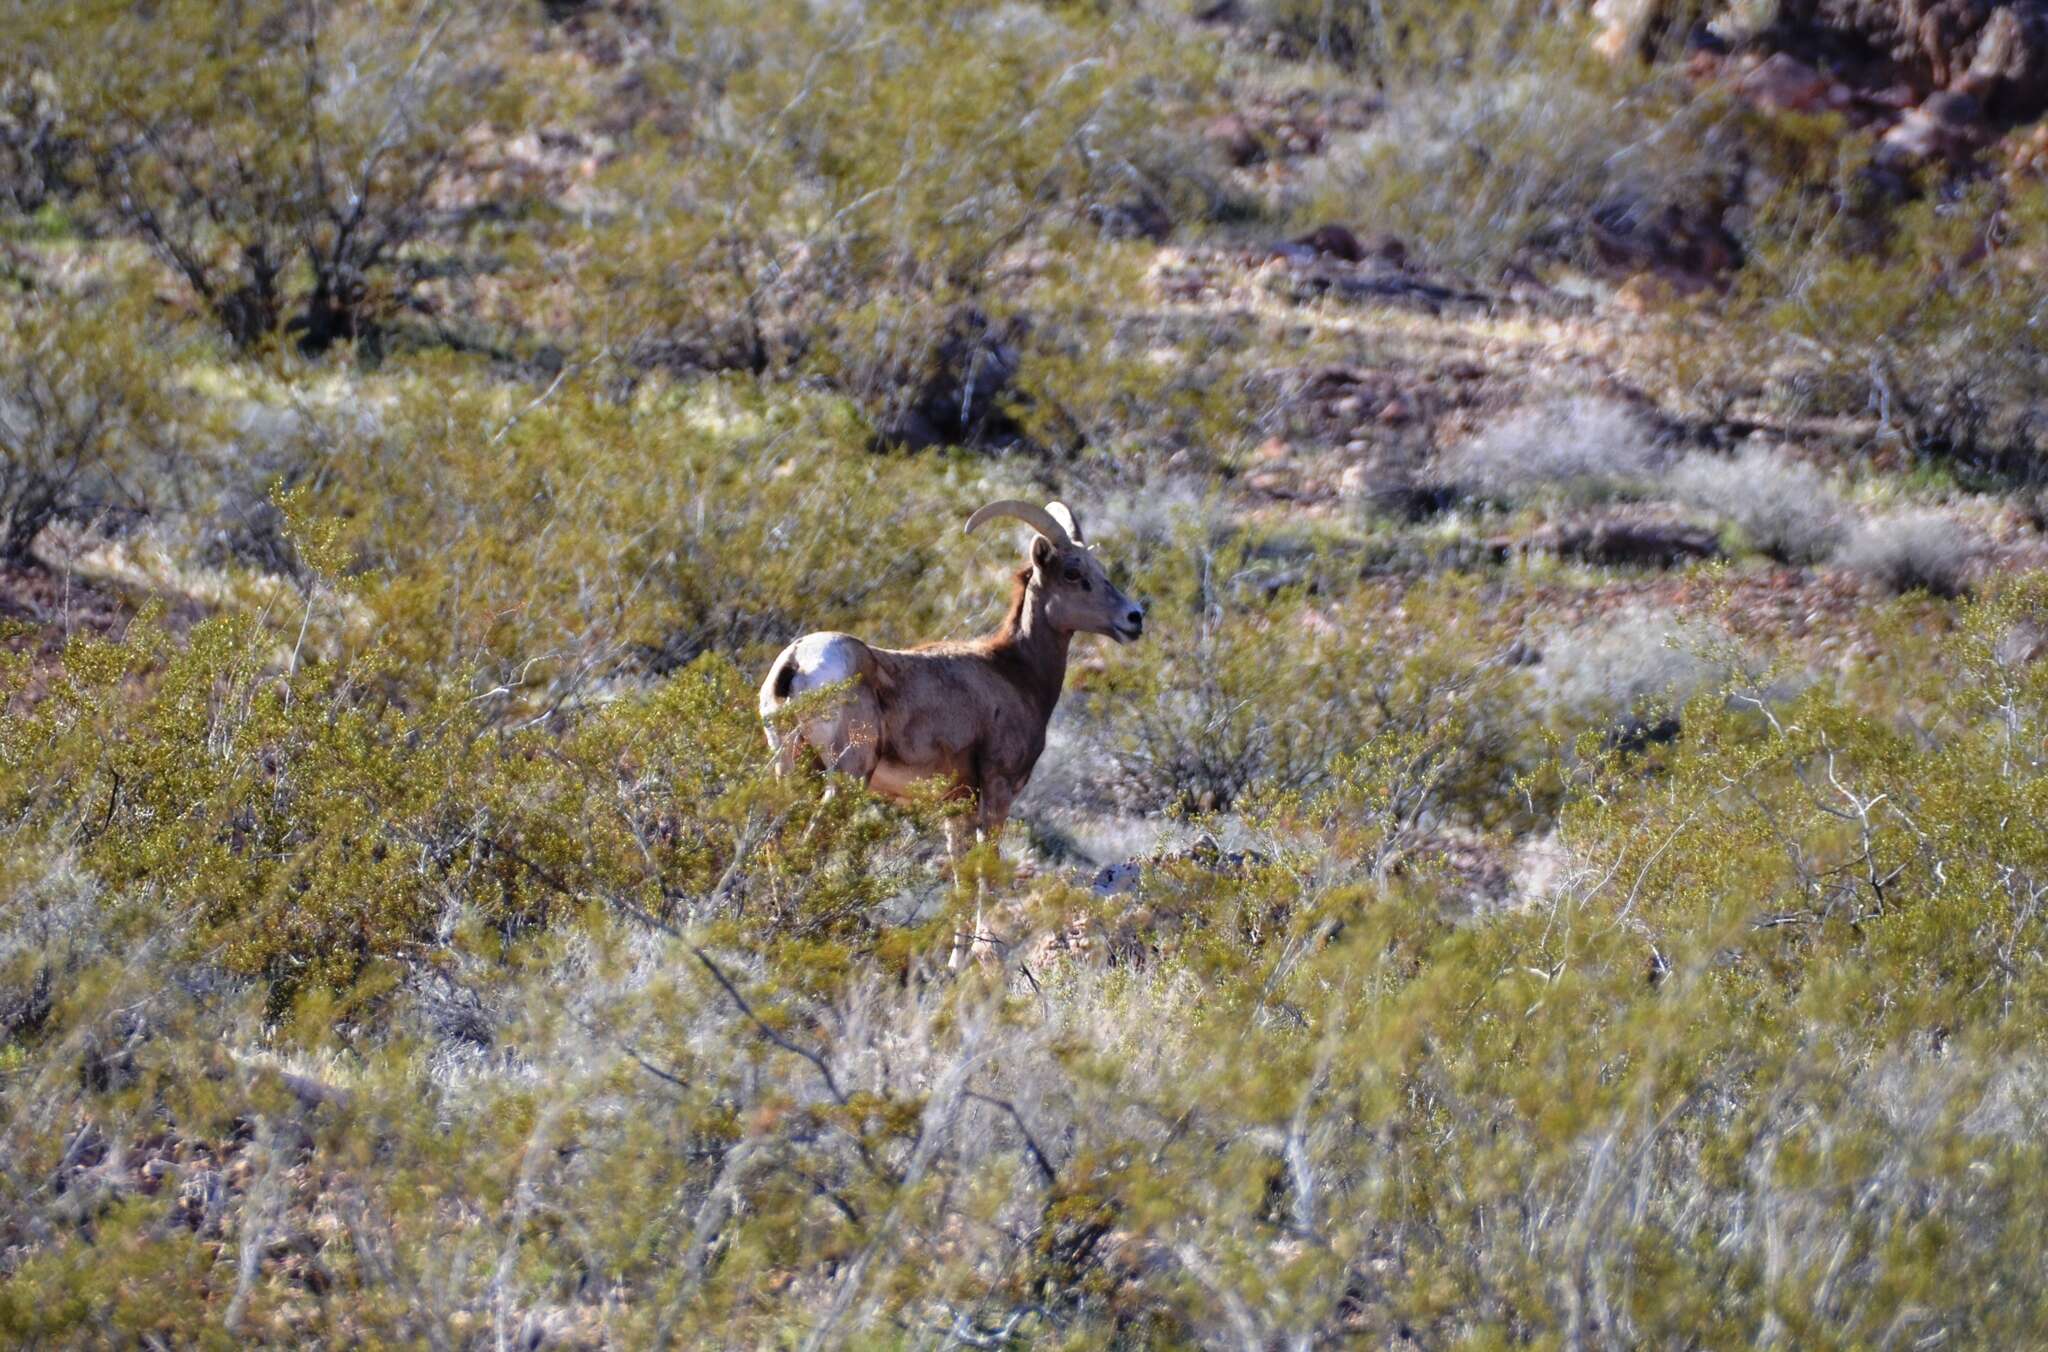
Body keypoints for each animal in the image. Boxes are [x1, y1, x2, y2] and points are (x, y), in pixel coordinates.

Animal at [761, 503, 1146, 962]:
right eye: (1073, 573)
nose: (1134, 618)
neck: (1014, 672)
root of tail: (796, 662)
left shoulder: (955, 806)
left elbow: (961, 875)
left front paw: (956, 960)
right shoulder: (997, 791)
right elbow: (985, 872)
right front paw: (983, 952)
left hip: (790, 769)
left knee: (773, 841)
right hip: (846, 777)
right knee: (807, 844)